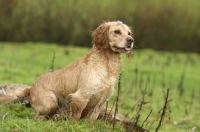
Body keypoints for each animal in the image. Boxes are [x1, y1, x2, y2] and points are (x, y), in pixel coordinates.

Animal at [0, 20, 134, 121]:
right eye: (117, 31)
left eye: (129, 33)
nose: (131, 40)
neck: (106, 65)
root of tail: (31, 87)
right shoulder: (81, 96)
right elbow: (75, 117)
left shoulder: (101, 101)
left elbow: (92, 118)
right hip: (50, 103)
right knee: (38, 117)